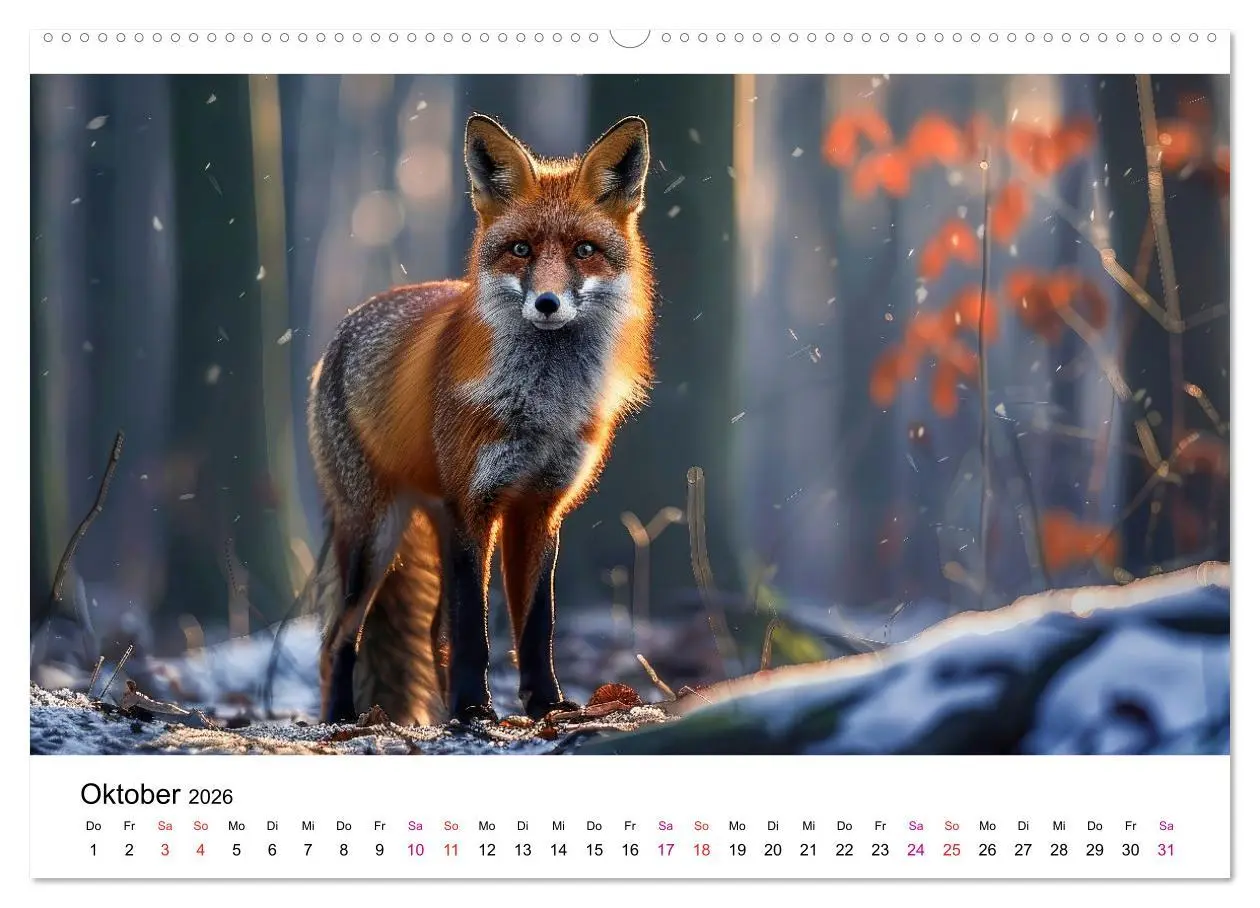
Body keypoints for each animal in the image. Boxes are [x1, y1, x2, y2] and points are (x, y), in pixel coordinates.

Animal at [308, 113, 654, 726]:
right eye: (520, 249)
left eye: (584, 250)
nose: (546, 303)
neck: (540, 406)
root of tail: (346, 327)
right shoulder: (474, 505)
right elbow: (475, 628)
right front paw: (474, 707)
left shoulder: (539, 508)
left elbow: (536, 626)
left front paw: (547, 705)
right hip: (375, 535)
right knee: (338, 637)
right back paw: (343, 720)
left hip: (430, 521)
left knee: (430, 633)